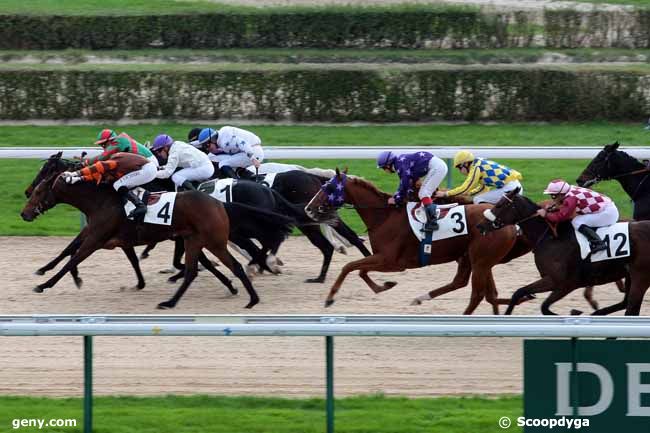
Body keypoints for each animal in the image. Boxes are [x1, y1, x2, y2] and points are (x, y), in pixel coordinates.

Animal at [20, 154, 294, 308]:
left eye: (40, 188)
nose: (24, 212)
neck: (102, 199)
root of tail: (219, 203)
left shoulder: (96, 238)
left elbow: (73, 257)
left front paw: (44, 284)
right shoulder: (108, 236)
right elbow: (73, 252)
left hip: (216, 239)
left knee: (252, 250)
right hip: (198, 239)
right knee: (211, 264)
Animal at [304, 169, 520, 314]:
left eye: (328, 187)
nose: (308, 208)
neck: (384, 217)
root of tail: (509, 223)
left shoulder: (391, 262)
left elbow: (349, 267)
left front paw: (330, 298)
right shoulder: (383, 258)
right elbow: (360, 270)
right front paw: (385, 286)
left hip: (480, 260)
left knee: (477, 294)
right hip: (475, 259)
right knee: (476, 288)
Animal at [476, 188, 648, 314]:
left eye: (499, 205)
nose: (480, 226)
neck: (551, 237)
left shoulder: (564, 283)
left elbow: (544, 307)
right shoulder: (550, 280)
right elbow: (519, 292)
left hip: (640, 277)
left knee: (631, 307)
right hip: (630, 275)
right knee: (625, 304)